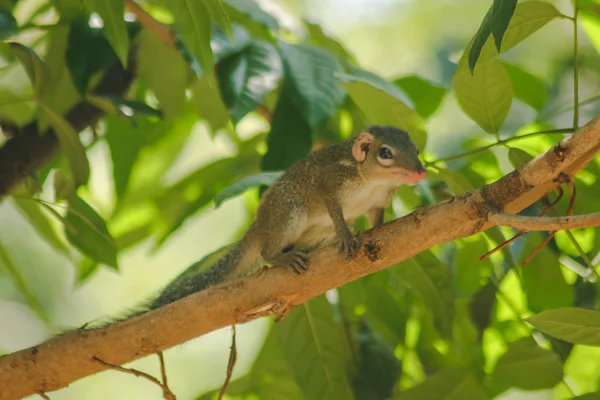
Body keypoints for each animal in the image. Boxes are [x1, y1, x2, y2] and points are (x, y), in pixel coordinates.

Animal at [94, 125, 424, 324]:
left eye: (417, 150)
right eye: (385, 153)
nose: (421, 172)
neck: (371, 182)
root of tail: (259, 227)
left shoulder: (379, 200)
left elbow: (377, 215)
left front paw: (376, 228)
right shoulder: (330, 182)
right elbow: (334, 209)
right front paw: (345, 234)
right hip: (288, 211)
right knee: (266, 252)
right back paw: (281, 256)